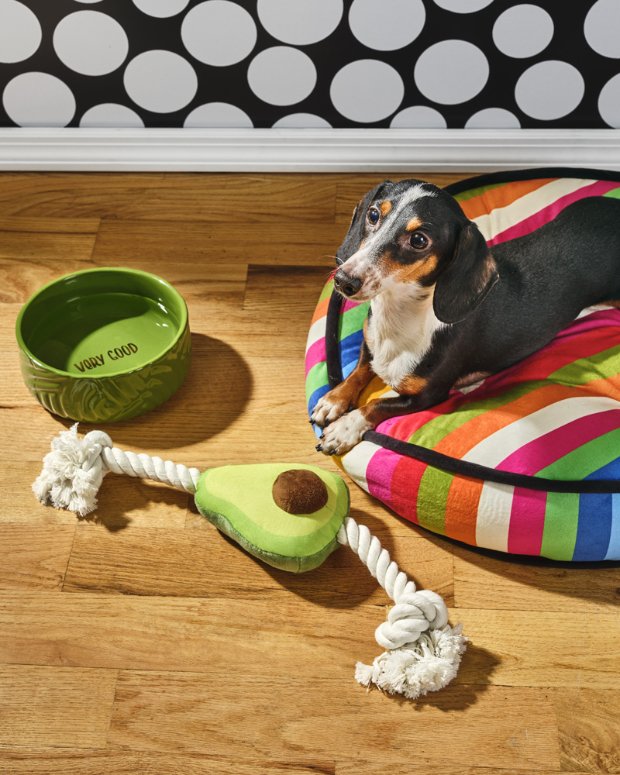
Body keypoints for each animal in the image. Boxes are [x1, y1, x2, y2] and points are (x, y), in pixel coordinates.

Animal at [312, 179, 620, 458]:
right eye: (374, 214)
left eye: (419, 240)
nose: (344, 280)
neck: (399, 316)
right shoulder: (370, 342)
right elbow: (358, 370)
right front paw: (333, 399)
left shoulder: (429, 395)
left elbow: (377, 406)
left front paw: (345, 428)